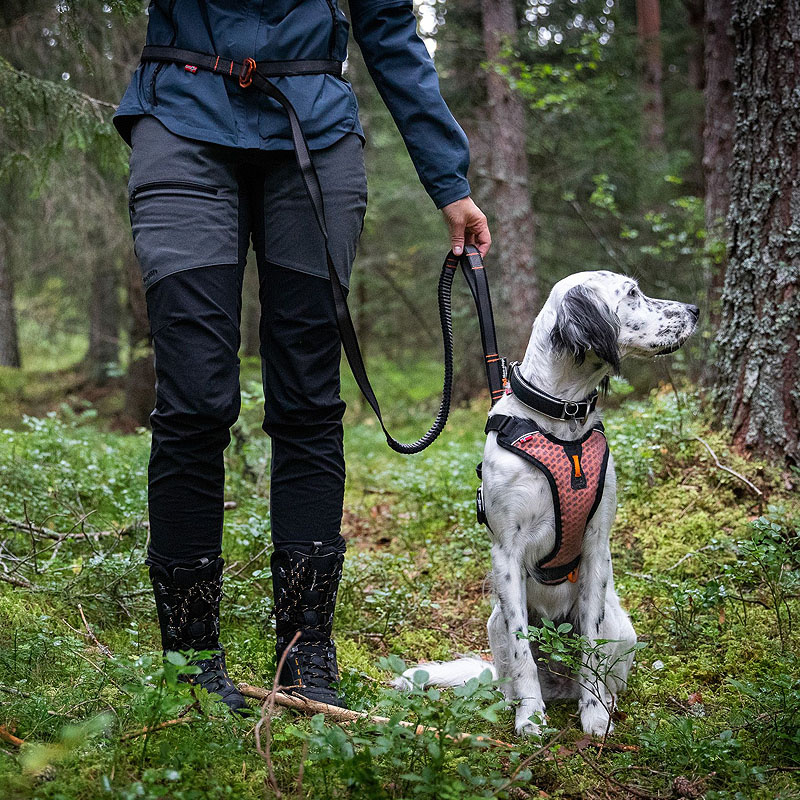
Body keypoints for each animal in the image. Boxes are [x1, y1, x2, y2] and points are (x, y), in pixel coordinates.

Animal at [396, 272, 696, 736]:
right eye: (631, 293)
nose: (695, 311)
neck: (562, 419)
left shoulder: (596, 547)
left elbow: (591, 646)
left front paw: (595, 715)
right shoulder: (506, 553)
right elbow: (523, 655)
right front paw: (530, 718)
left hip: (622, 627)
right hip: (495, 623)